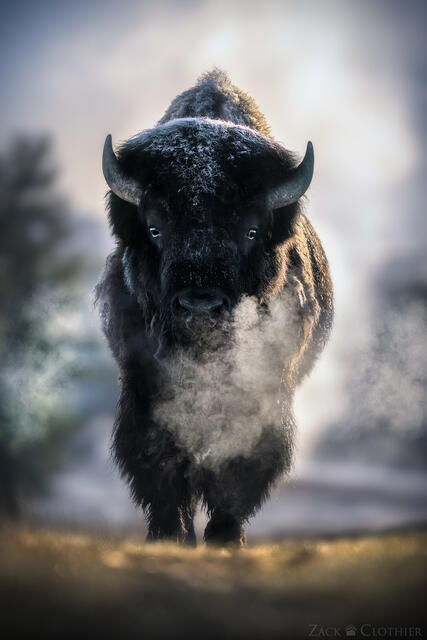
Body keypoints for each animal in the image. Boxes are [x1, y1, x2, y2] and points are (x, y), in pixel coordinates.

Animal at [96, 70, 333, 545]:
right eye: (155, 228)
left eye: (251, 230)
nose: (201, 306)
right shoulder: (144, 388)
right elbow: (161, 462)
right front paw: (169, 535)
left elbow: (238, 464)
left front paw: (225, 536)